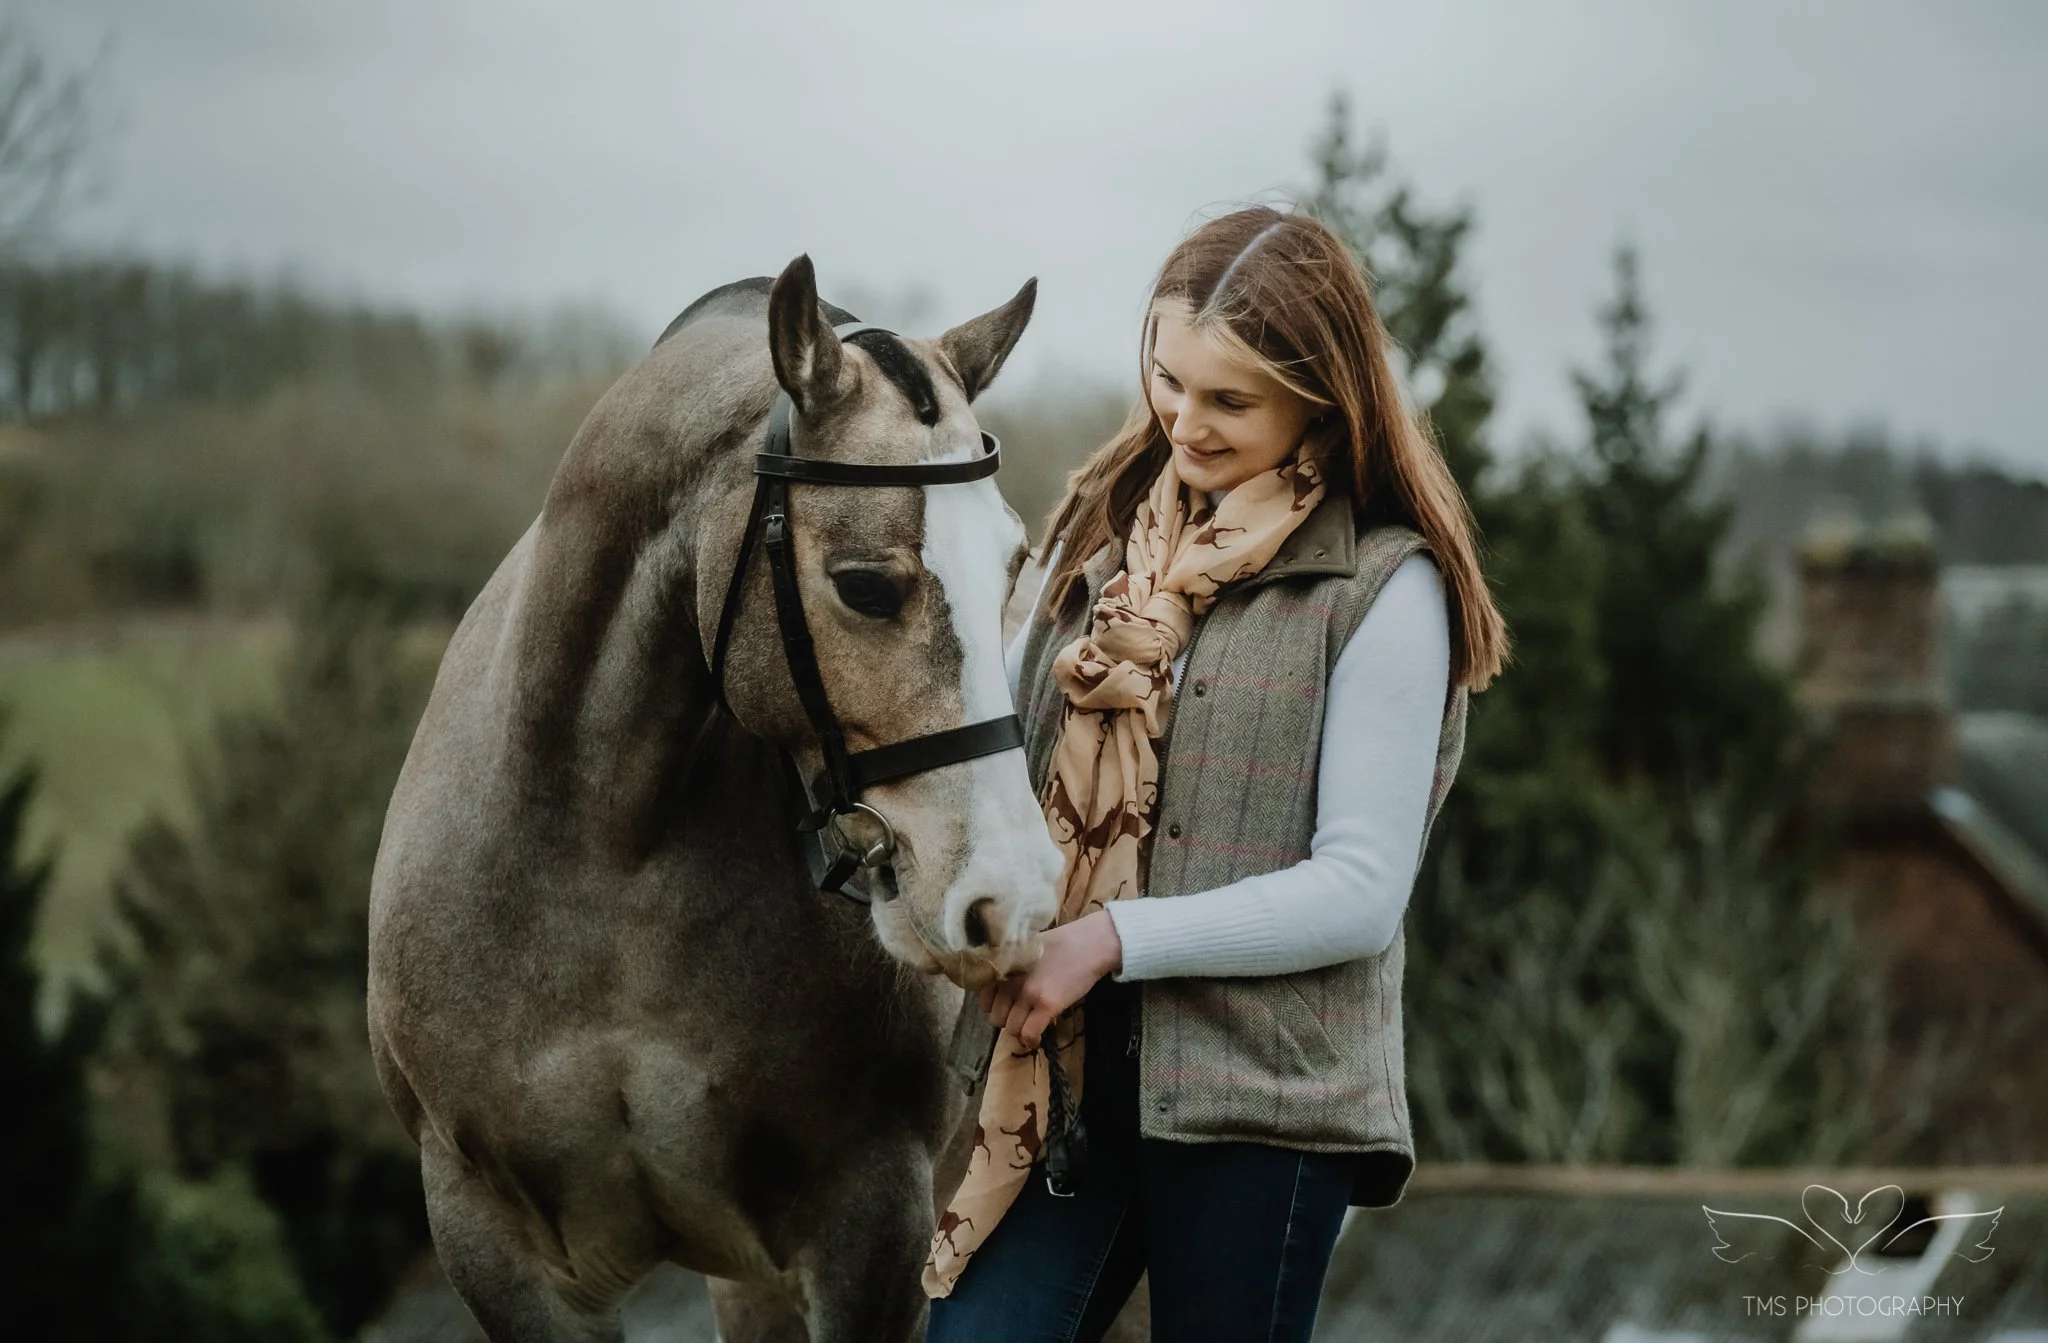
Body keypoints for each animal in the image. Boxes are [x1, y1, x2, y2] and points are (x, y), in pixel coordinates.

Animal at [367, 255, 1064, 1342]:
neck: (607, 852)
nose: (1014, 898)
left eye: (1011, 568)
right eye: (864, 586)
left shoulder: (874, 1230)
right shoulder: (494, 1243)